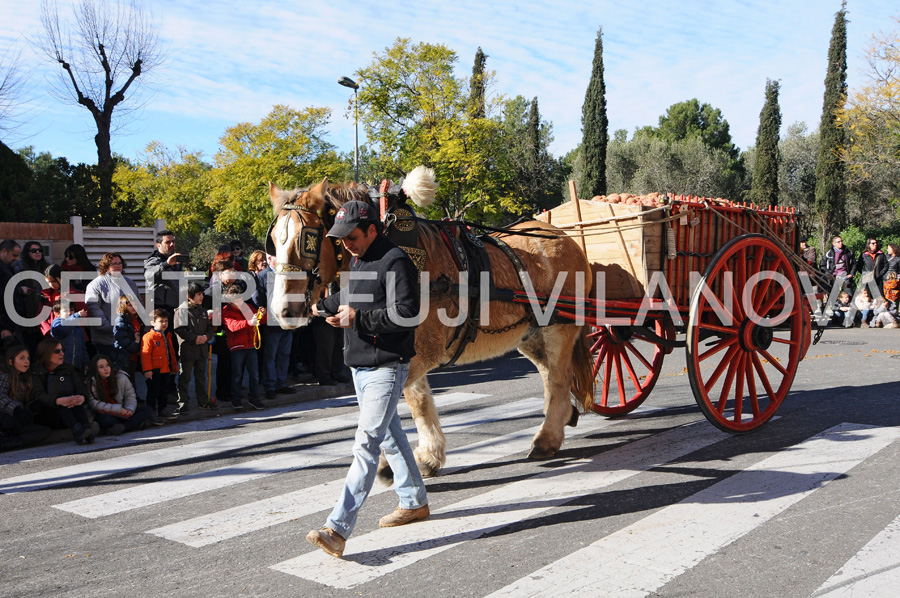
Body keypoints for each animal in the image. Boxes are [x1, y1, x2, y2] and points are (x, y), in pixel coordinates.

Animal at [264, 168, 596, 478]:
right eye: (274, 243)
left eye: (308, 238)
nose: (282, 311)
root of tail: (563, 238)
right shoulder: (406, 353)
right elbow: (418, 403)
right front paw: (427, 456)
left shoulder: (422, 353)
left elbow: (390, 404)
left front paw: (391, 462)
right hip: (531, 334)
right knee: (548, 374)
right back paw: (562, 417)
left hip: (559, 329)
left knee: (559, 378)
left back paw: (547, 438)